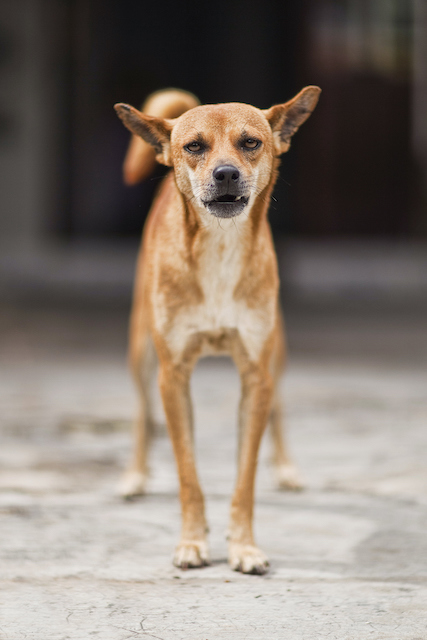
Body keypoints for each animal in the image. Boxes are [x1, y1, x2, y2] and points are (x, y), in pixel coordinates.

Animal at [113, 86, 320, 576]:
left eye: (251, 142)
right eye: (194, 147)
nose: (226, 173)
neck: (221, 248)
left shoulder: (257, 376)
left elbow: (245, 479)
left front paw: (244, 547)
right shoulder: (173, 377)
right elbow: (188, 474)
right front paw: (192, 541)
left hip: (277, 354)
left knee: (279, 409)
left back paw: (286, 468)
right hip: (140, 351)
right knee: (140, 409)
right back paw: (134, 475)